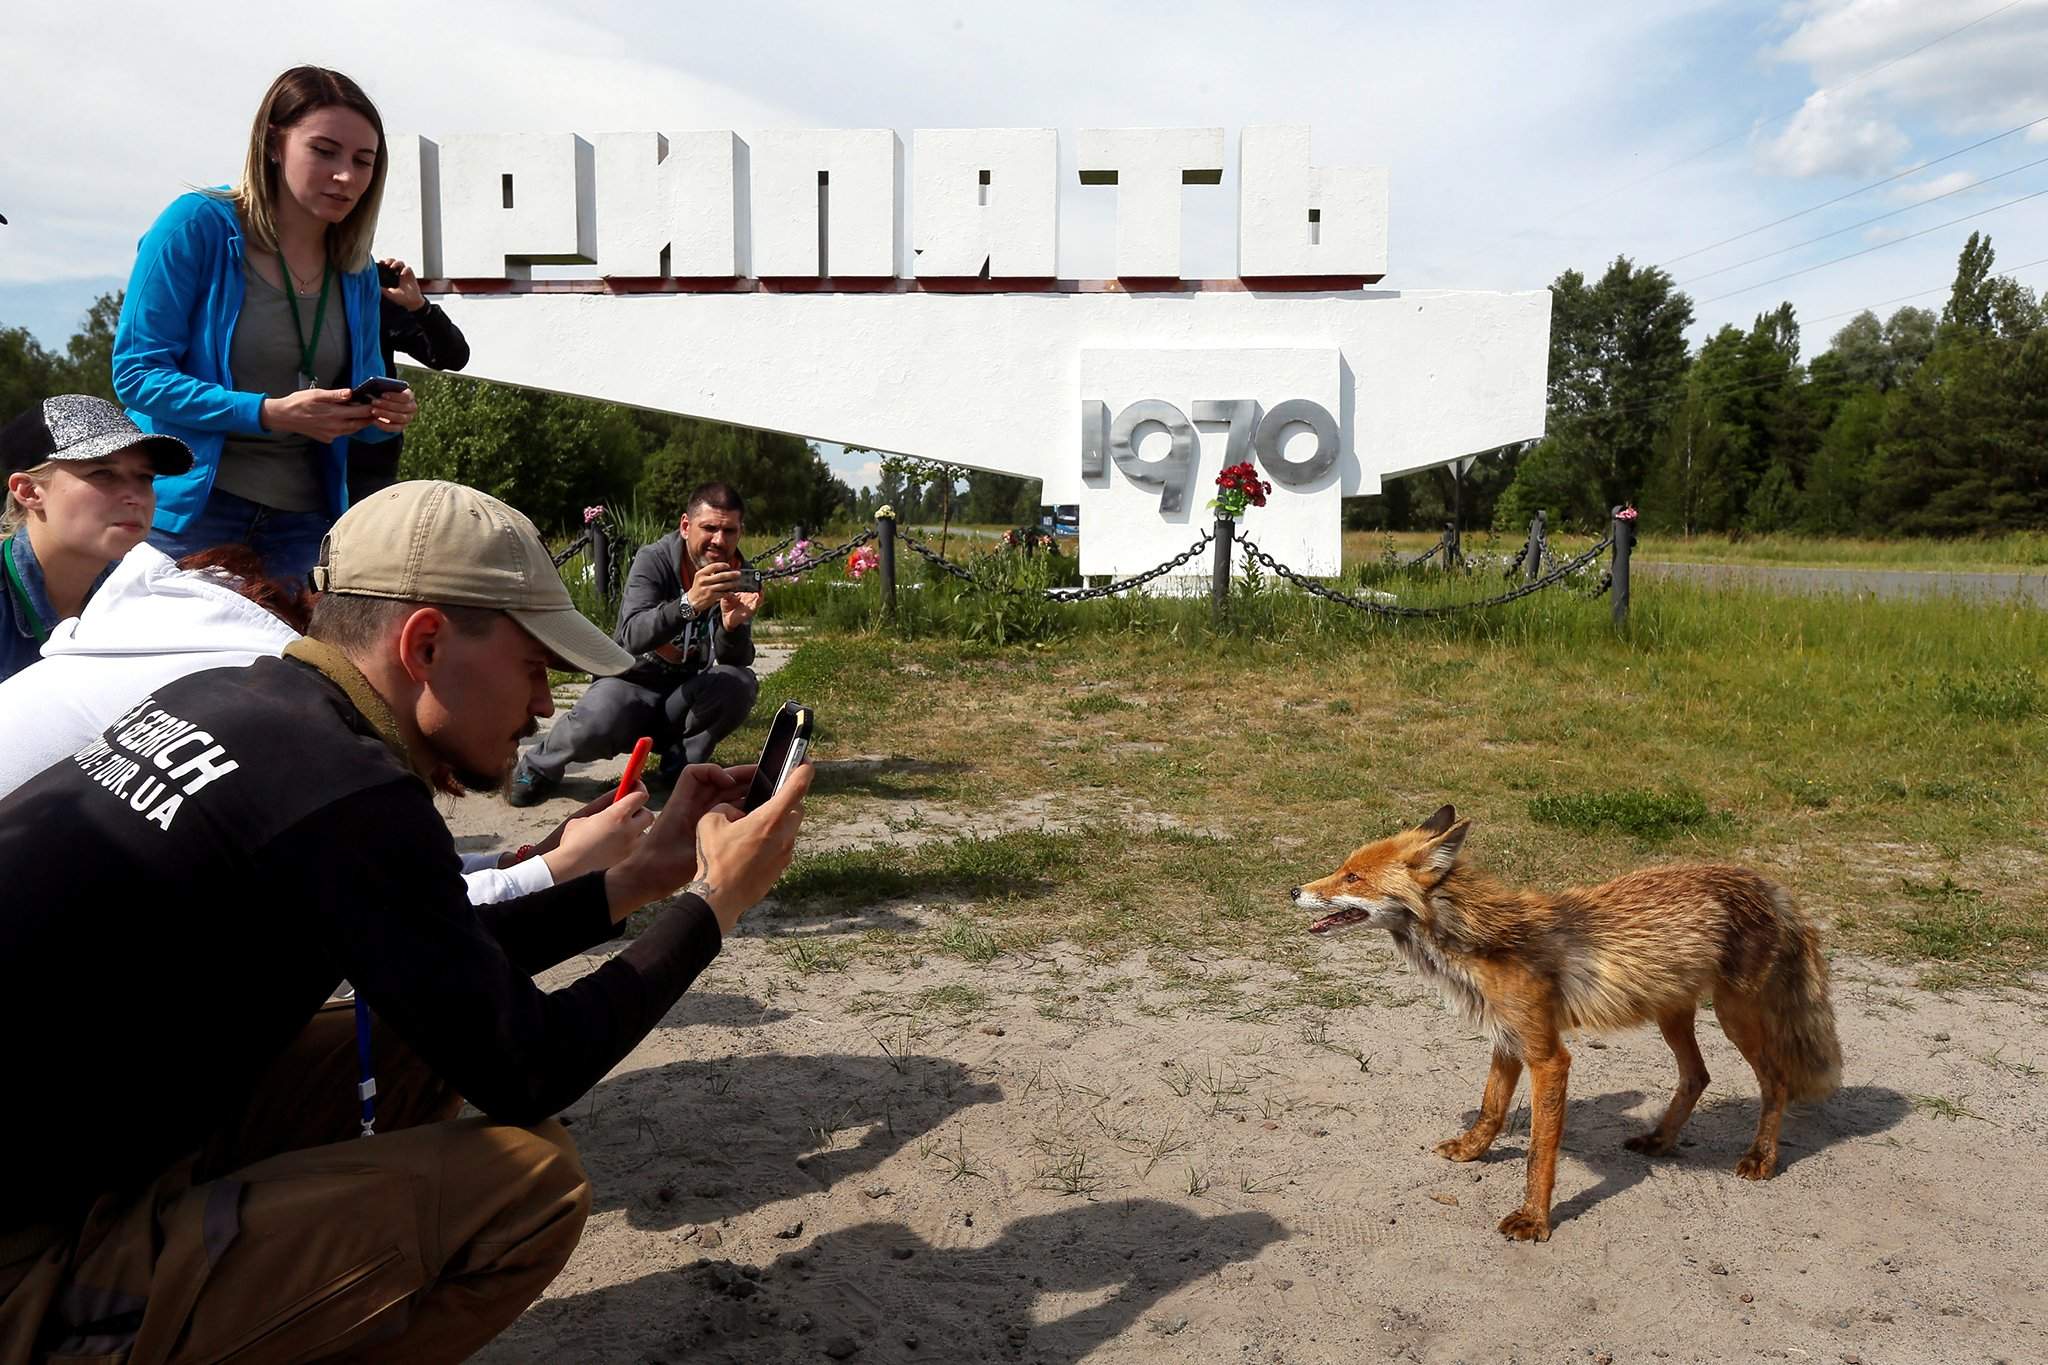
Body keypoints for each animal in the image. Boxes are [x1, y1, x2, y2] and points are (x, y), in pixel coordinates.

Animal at [1294, 806, 1843, 1244]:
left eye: (1352, 878)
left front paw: (1534, 1220)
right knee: (1697, 1075)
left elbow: (1540, 1151)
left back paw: (1761, 1158)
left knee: (1776, 1080)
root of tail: (1765, 882)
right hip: (1671, 1014)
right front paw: (1472, 1151)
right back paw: (1660, 1141)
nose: (1294, 889)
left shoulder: (1548, 1057)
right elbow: (1490, 1109)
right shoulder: (1508, 1038)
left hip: (1735, 1015)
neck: (1485, 941)